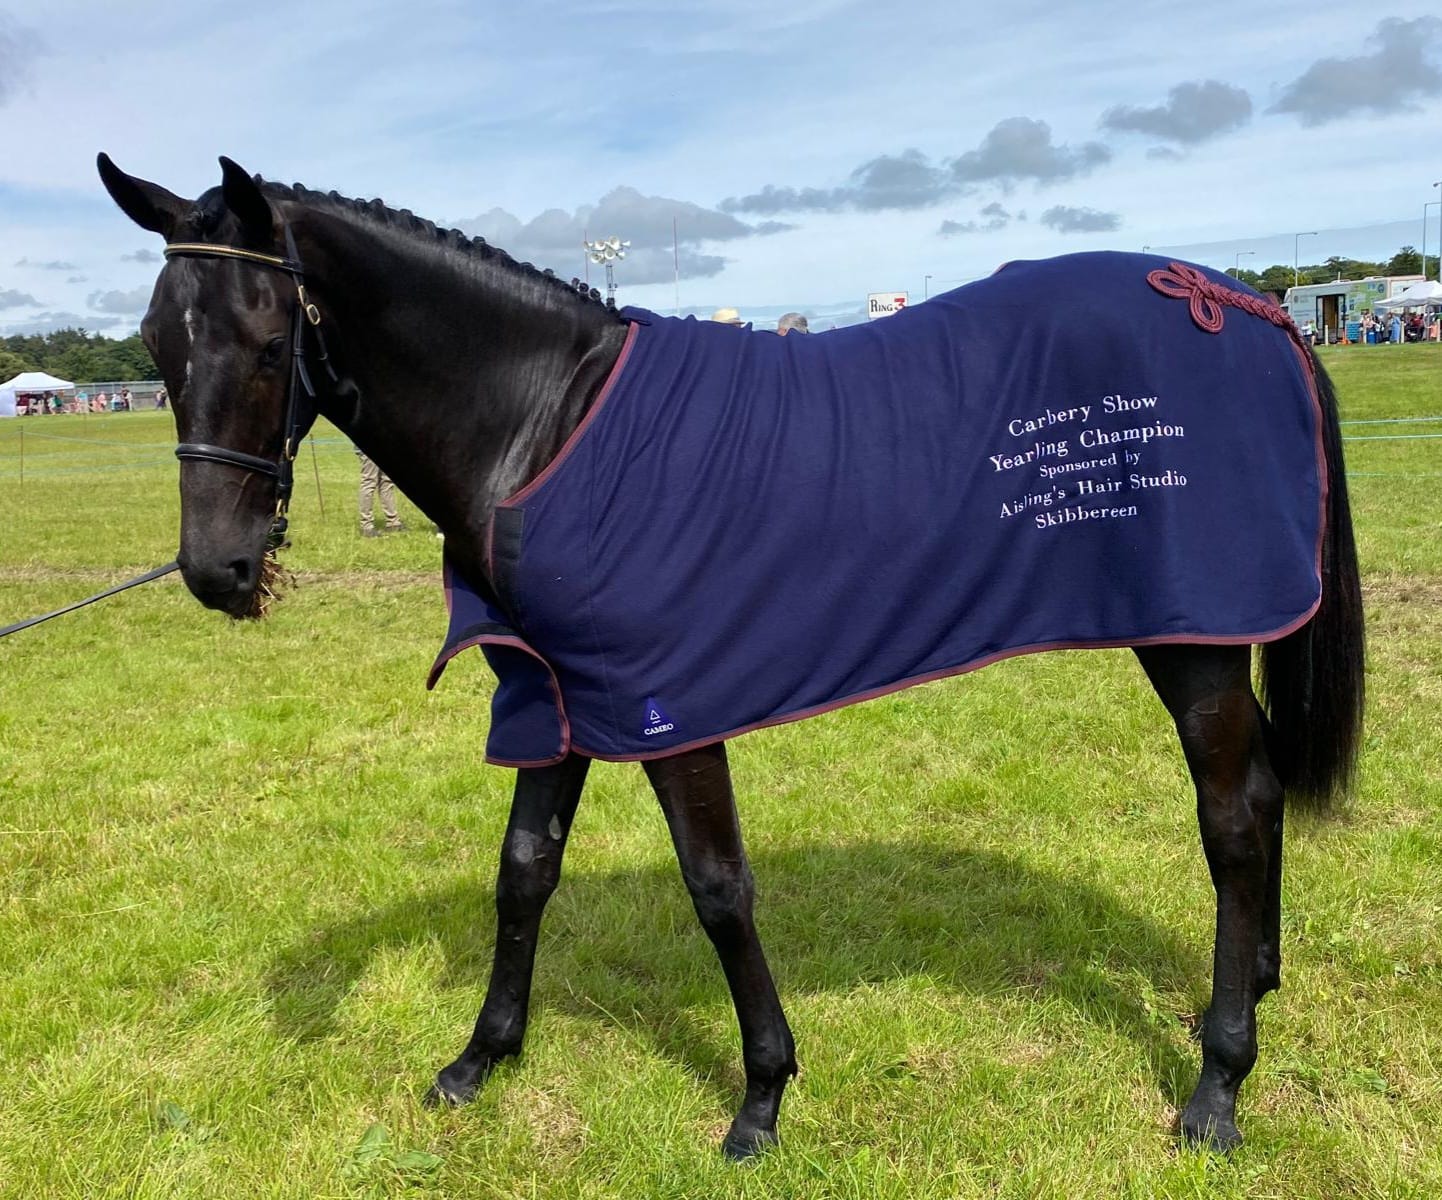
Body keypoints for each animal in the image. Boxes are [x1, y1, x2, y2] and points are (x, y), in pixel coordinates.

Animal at [98, 154, 1364, 1159]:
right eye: (158, 343)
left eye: (271, 339)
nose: (216, 568)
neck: (541, 423)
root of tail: (1239, 306)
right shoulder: (554, 694)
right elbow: (524, 872)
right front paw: (481, 1059)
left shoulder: (666, 703)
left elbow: (715, 888)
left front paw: (760, 1098)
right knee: (1257, 795)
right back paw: (1255, 988)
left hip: (1191, 641)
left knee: (1231, 819)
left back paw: (1216, 1084)